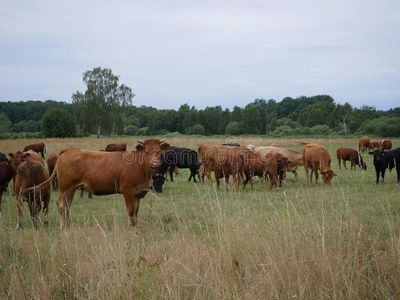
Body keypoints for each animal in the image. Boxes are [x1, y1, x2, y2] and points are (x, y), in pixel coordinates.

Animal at [23, 139, 170, 230]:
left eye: (158, 151)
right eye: (146, 151)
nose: (155, 164)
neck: (141, 168)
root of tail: (68, 150)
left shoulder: (138, 194)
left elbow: (136, 211)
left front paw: (136, 226)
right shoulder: (128, 192)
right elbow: (130, 211)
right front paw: (131, 227)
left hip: (71, 189)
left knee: (67, 206)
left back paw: (68, 225)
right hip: (66, 188)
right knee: (61, 205)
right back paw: (63, 227)